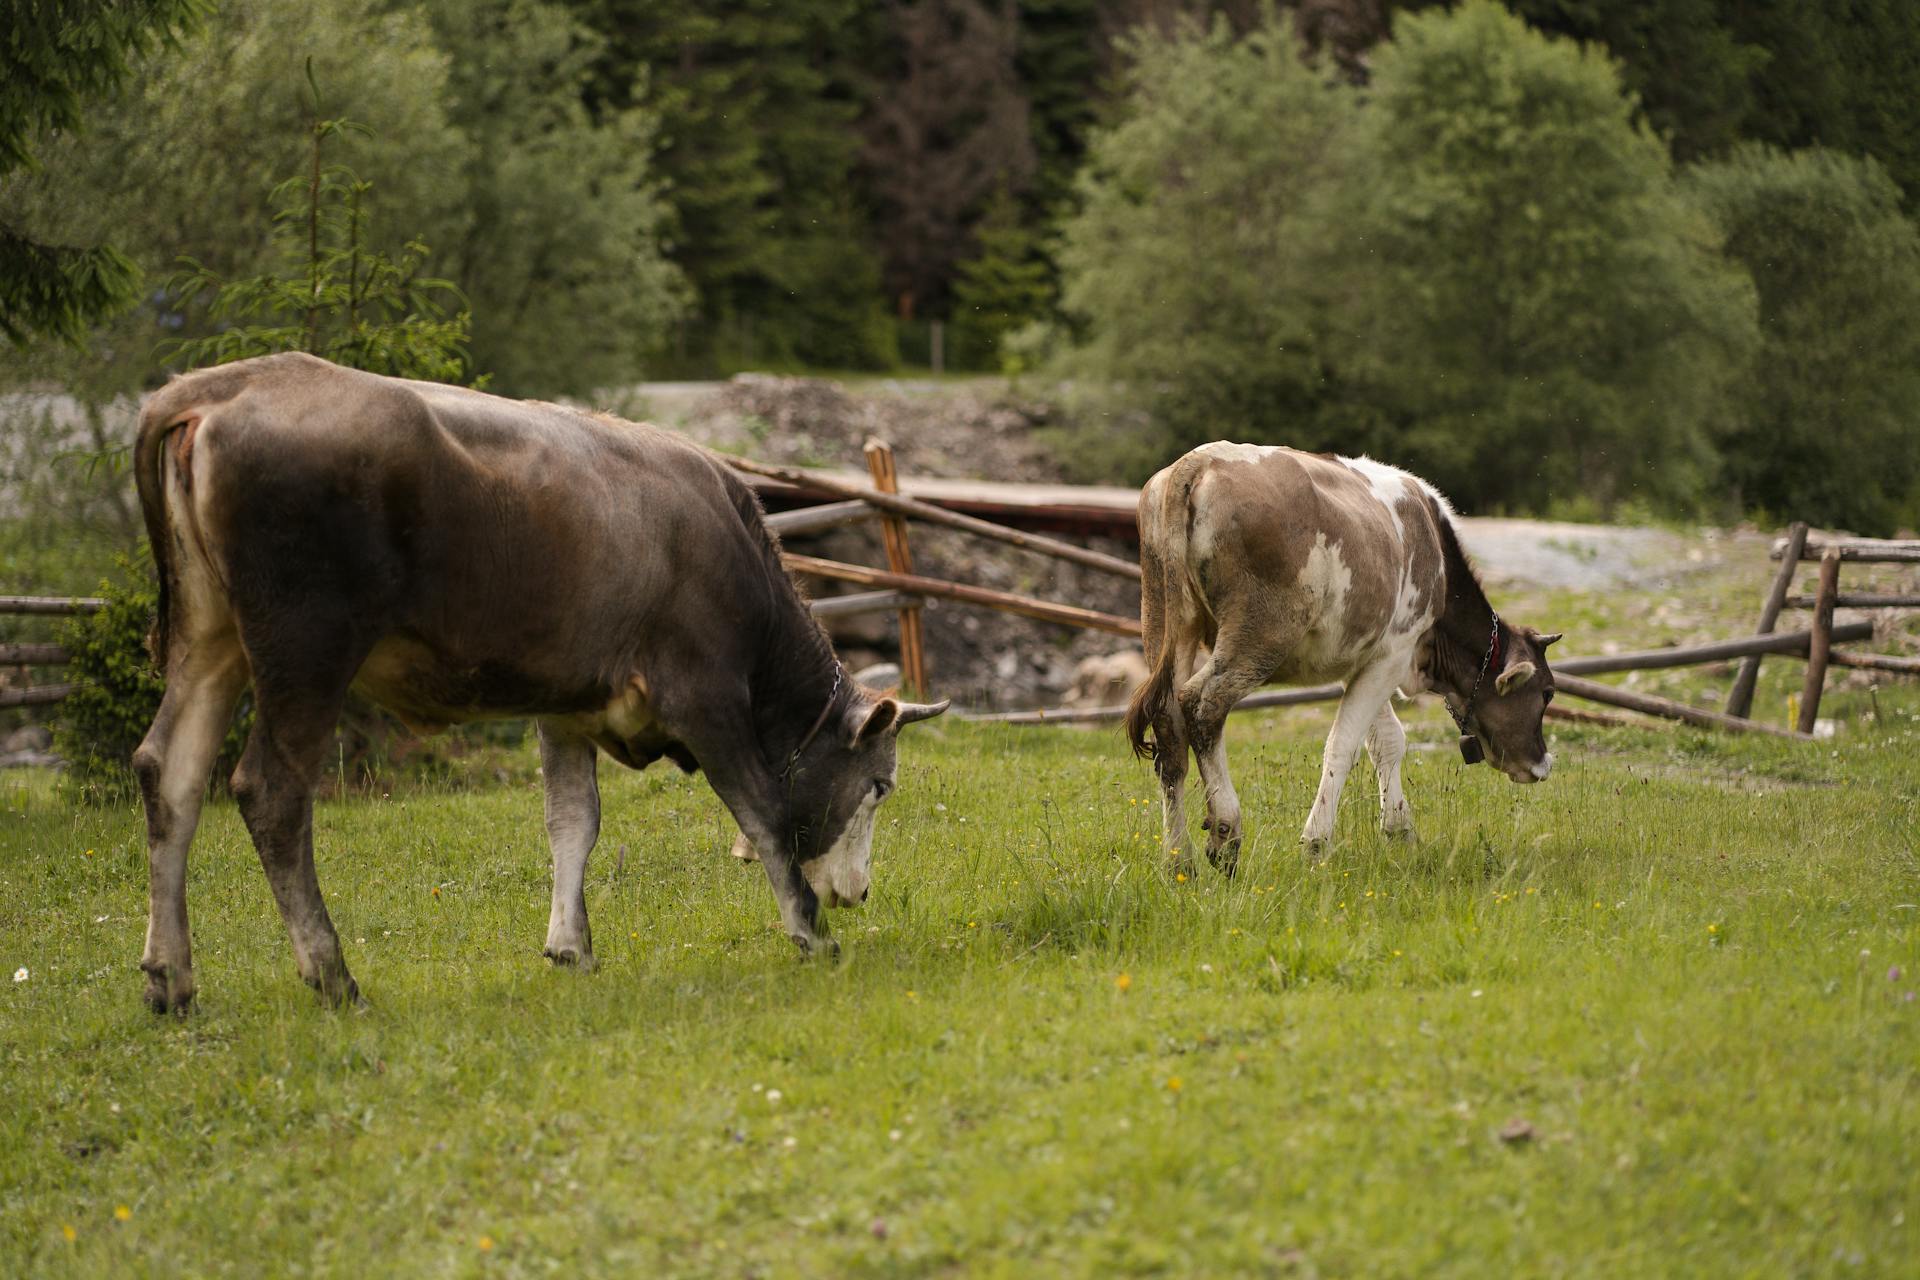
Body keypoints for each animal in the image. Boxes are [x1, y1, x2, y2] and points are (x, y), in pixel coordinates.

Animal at [131, 353, 948, 1013]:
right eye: (881, 786)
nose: (861, 892)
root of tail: (230, 381)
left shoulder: (568, 708)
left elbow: (572, 822)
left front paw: (570, 947)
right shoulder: (706, 697)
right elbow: (765, 814)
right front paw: (812, 934)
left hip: (210, 641)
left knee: (169, 772)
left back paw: (173, 981)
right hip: (306, 648)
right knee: (271, 792)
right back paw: (334, 979)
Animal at [1121, 445, 1559, 875]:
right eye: (1547, 693)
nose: (1543, 763)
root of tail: (1199, 460)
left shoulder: (1365, 659)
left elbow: (1387, 741)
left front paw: (1400, 829)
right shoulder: (1395, 652)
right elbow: (1343, 745)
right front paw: (1317, 842)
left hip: (1165, 620)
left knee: (1169, 729)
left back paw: (1178, 858)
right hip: (1259, 633)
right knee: (1202, 704)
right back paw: (1225, 834)